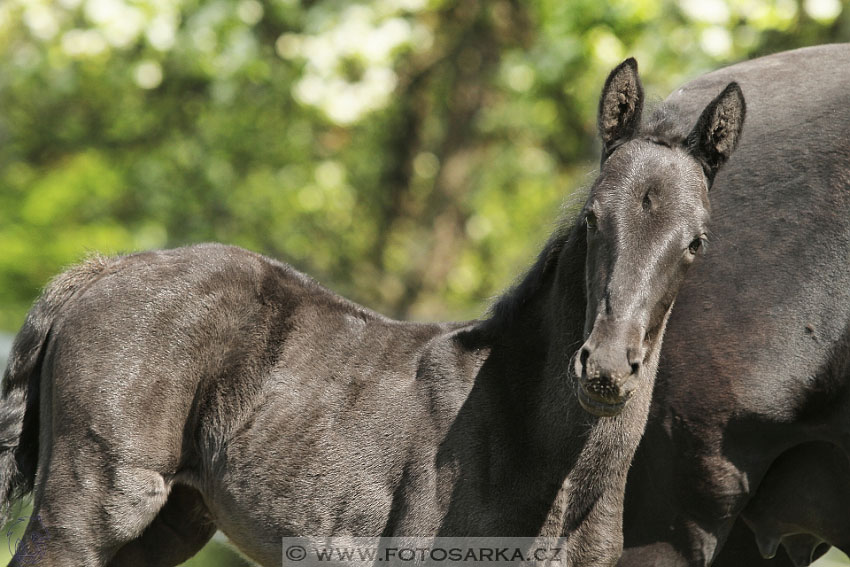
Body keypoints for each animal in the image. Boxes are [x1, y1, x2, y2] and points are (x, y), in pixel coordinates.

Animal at [0, 60, 744, 564]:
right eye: (592, 218)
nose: (607, 369)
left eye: (697, 241)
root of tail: (106, 269)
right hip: (87, 513)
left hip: (170, 521)